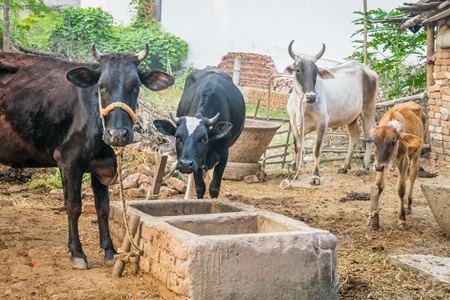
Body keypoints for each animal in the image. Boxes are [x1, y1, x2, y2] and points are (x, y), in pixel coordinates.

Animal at [155, 68, 246, 199]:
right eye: (178, 137)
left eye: (203, 138)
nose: (185, 164)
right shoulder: (196, 160)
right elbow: (200, 187)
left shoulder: (224, 154)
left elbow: (214, 187)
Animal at [368, 102, 428, 231]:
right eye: (374, 141)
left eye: (393, 142)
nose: (378, 168)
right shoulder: (379, 163)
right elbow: (378, 186)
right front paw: (374, 215)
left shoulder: (404, 160)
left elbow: (401, 189)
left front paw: (402, 219)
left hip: (417, 153)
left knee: (412, 174)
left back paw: (408, 204)